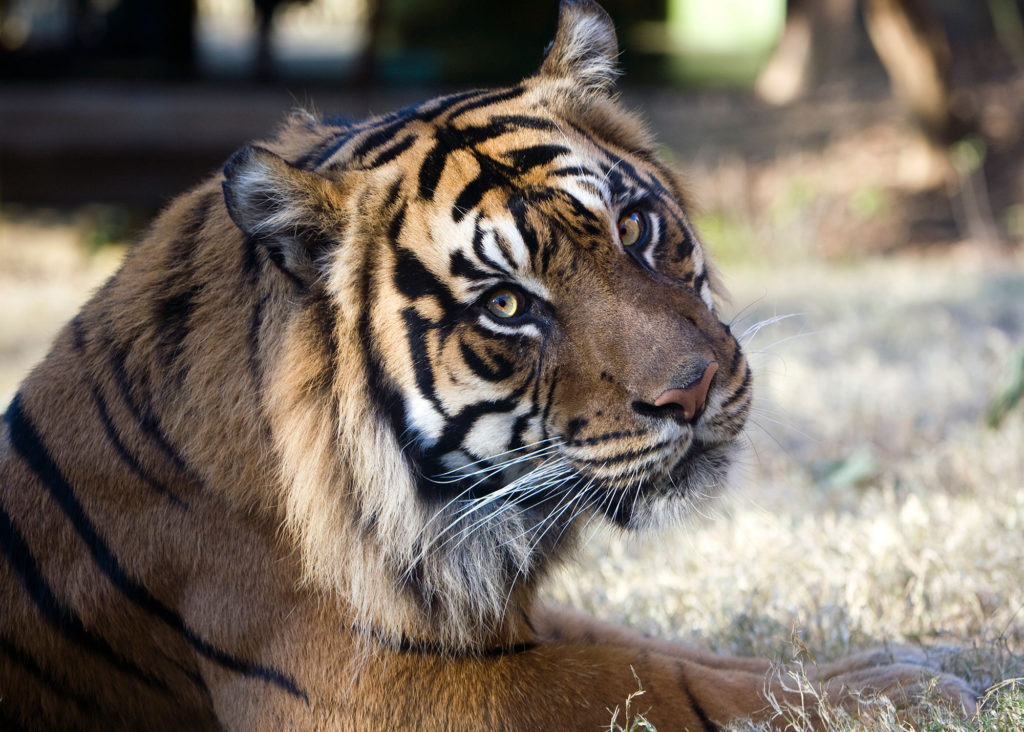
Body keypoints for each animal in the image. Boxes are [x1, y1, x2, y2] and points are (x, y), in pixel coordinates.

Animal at [0, 2, 974, 728]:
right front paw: (898, 695)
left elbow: (663, 646)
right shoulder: (376, 687)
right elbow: (652, 682)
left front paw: (901, 658)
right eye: (506, 305)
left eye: (633, 227)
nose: (692, 390)